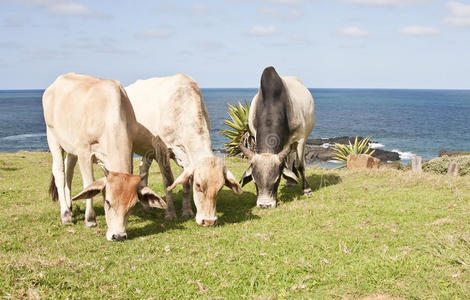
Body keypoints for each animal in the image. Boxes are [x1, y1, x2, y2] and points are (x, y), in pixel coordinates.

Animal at [42, 72, 167, 241]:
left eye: (132, 205)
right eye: (107, 202)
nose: (118, 236)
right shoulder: (84, 151)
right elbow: (88, 183)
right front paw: (90, 219)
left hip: (70, 147)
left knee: (69, 171)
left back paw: (70, 206)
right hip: (53, 137)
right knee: (59, 172)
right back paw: (66, 214)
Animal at [125, 74, 242, 226]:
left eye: (221, 187)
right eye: (198, 185)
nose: (208, 221)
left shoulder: (185, 157)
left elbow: (186, 184)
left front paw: (187, 211)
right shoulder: (161, 149)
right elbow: (168, 182)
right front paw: (170, 213)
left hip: (148, 149)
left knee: (143, 169)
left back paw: (147, 206)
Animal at [239, 66, 316, 207]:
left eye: (276, 180)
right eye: (254, 181)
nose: (265, 205)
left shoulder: (300, 139)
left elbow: (300, 165)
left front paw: (307, 189)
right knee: (290, 158)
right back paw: (290, 182)